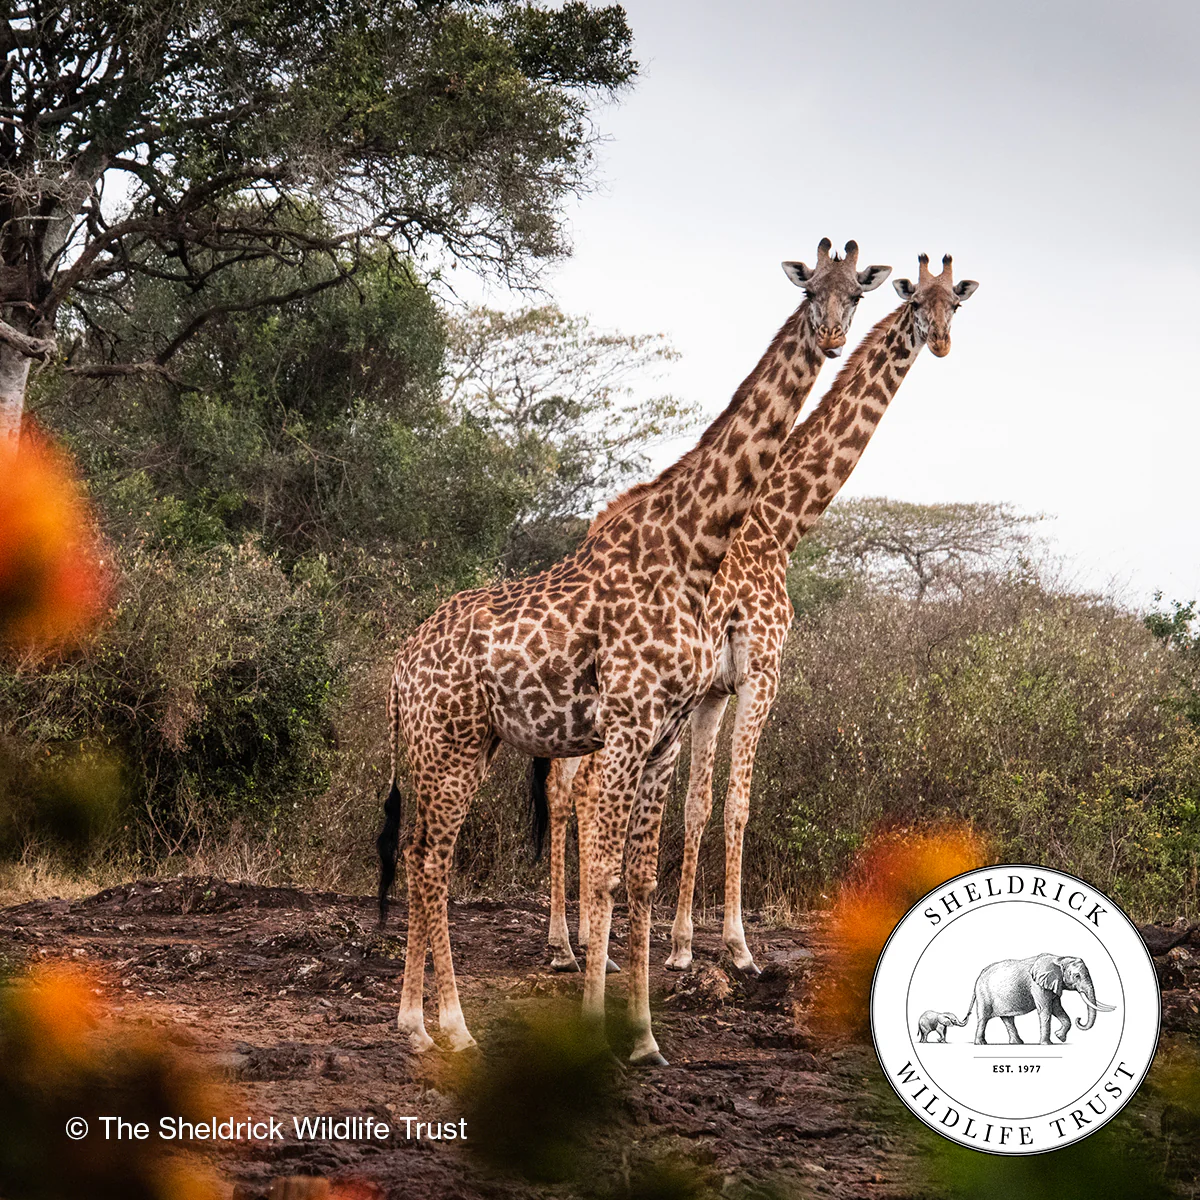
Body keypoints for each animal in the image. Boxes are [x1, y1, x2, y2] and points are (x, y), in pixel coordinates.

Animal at [378, 239, 891, 1066]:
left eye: (858, 293)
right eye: (811, 288)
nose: (833, 338)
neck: (694, 547)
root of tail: (397, 670)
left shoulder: (664, 736)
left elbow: (643, 876)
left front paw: (647, 1038)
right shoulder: (625, 729)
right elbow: (607, 876)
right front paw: (595, 1024)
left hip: (454, 747)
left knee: (423, 854)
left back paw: (414, 1022)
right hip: (451, 747)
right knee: (432, 863)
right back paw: (452, 1024)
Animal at [541, 254, 979, 978]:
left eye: (957, 304)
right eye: (917, 302)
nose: (942, 343)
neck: (778, 524)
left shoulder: (715, 690)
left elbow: (697, 806)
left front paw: (681, 945)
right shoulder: (760, 674)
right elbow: (738, 805)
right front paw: (737, 948)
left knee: (563, 785)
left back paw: (564, 943)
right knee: (581, 789)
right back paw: (579, 946)